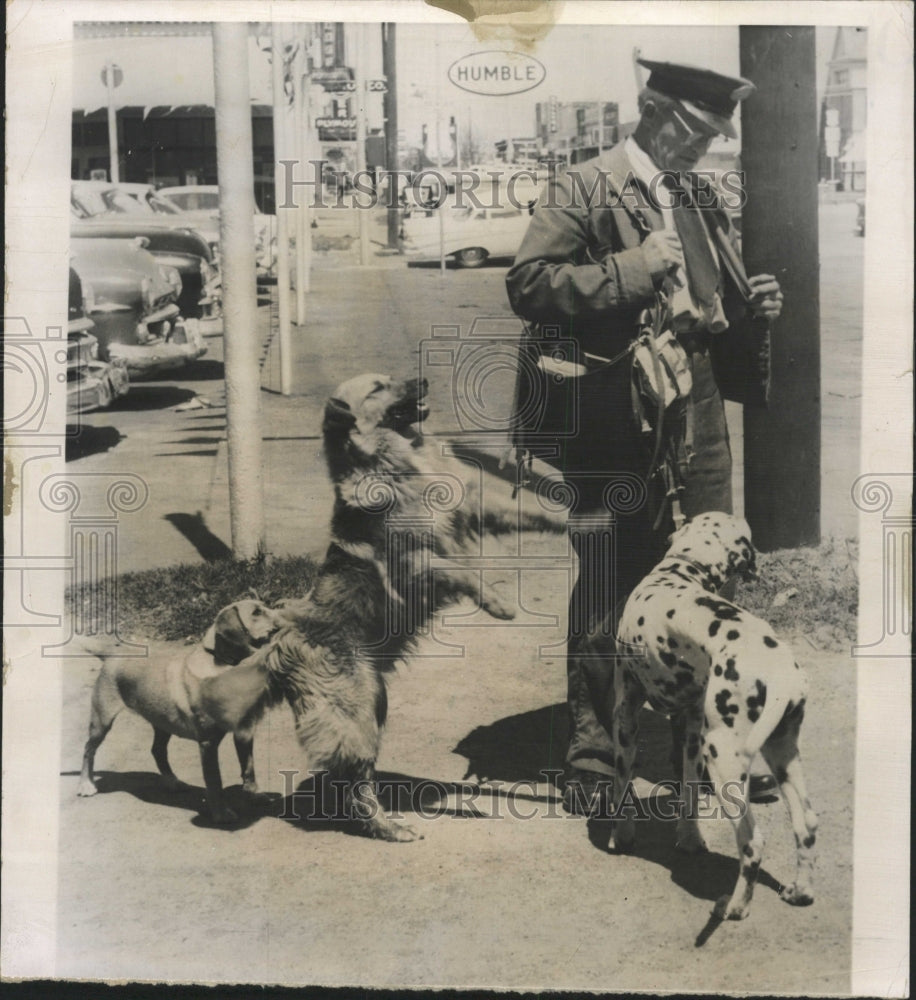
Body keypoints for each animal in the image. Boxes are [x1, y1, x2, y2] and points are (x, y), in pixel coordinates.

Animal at [80, 596, 284, 824]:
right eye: (257, 612)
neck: (225, 666)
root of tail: (112, 655)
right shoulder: (208, 743)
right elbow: (214, 781)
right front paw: (221, 813)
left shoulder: (244, 732)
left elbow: (248, 768)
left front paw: (254, 795)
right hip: (102, 721)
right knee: (88, 749)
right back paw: (86, 785)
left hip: (162, 723)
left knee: (157, 750)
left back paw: (173, 782)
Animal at [249, 372, 564, 840]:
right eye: (378, 387)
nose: (423, 379)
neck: (399, 463)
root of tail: (283, 635)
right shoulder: (415, 563)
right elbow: (466, 573)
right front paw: (498, 604)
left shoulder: (472, 509)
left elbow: (528, 513)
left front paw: (575, 521)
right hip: (356, 709)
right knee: (354, 777)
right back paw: (388, 827)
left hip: (374, 700)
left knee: (342, 774)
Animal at [612, 516, 820, 920]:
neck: (682, 567)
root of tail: (780, 673)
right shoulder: (692, 730)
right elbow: (690, 792)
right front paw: (690, 839)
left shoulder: (625, 715)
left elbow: (623, 784)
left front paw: (621, 836)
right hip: (781, 757)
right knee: (806, 826)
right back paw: (800, 892)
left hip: (724, 759)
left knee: (753, 843)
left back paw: (735, 907)